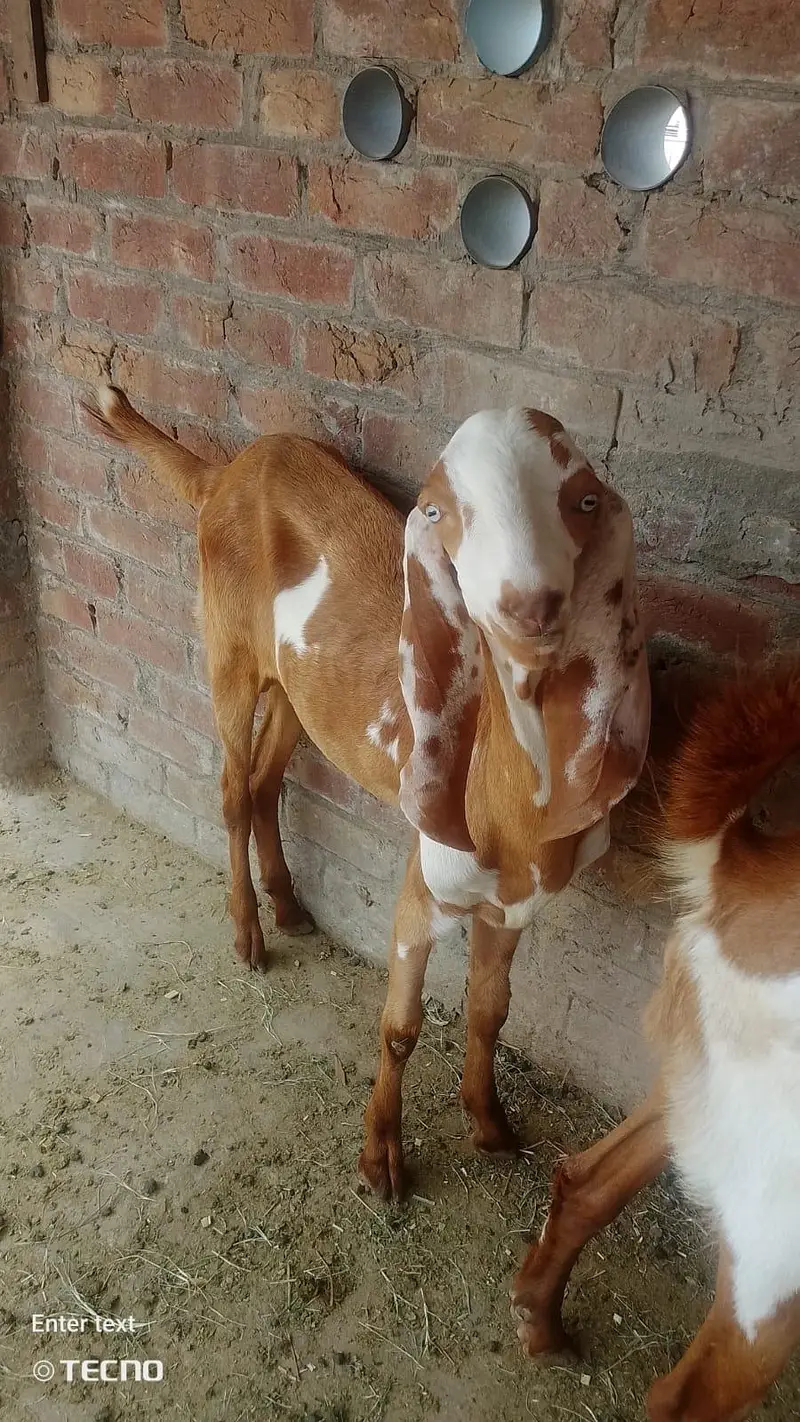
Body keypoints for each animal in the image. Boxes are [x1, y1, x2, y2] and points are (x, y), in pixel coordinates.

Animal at [85, 389, 651, 1202]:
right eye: (438, 508)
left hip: (301, 688)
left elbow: (491, 1011)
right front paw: (381, 1157)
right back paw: (247, 932)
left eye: (584, 499)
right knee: (230, 787)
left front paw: (489, 1123)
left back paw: (289, 905)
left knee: (264, 779)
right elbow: (401, 1026)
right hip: (229, 647)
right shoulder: (424, 884)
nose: (528, 605)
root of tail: (225, 472)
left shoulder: (514, 904)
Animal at [511, 661, 800, 1421]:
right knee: (682, 1395)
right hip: (774, 1252)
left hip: (695, 1092)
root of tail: (749, 869)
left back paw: (541, 1324)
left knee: (586, 1182)